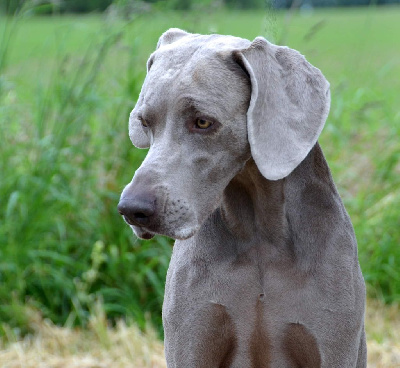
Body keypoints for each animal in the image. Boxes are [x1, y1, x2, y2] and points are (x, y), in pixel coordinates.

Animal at [117, 28, 368, 368]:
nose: (132, 209)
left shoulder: (334, 343)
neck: (260, 233)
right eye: (145, 122)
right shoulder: (192, 338)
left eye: (203, 122)